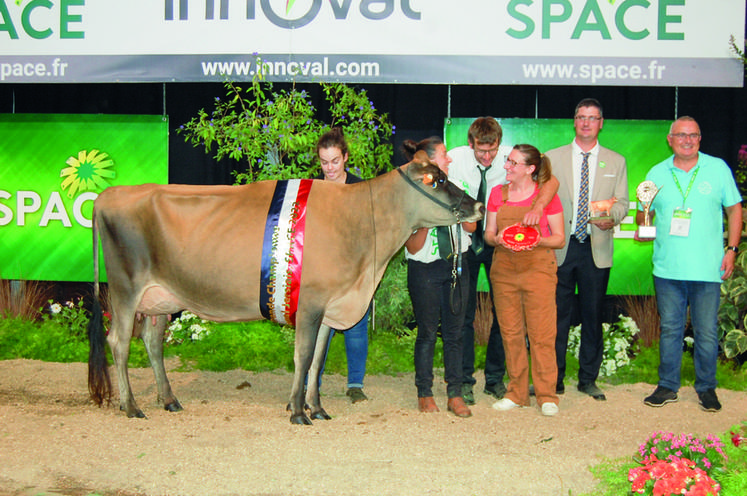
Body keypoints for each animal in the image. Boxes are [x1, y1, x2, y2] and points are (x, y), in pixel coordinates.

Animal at [87, 150, 486, 422]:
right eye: (437, 181)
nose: (478, 205)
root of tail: (110, 194)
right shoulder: (310, 303)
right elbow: (303, 355)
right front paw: (297, 410)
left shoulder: (331, 305)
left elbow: (318, 359)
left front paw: (317, 407)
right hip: (125, 288)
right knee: (119, 342)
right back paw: (130, 405)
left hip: (161, 298)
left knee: (151, 342)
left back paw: (168, 399)